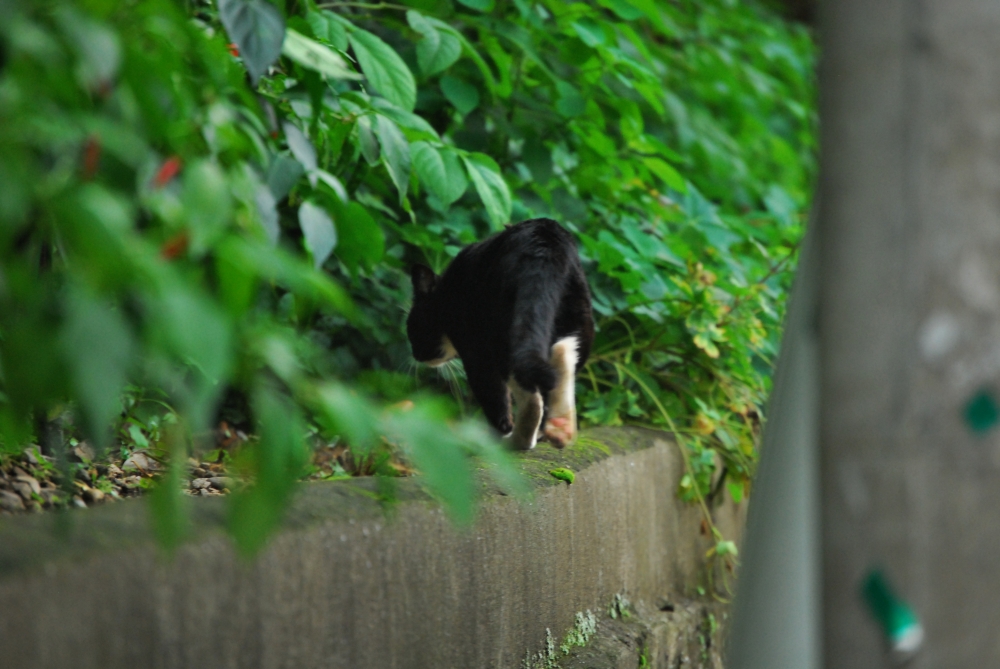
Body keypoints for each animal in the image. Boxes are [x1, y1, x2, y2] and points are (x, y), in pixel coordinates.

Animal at [406, 218, 592, 448]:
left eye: (413, 330)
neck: (449, 291)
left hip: (501, 332)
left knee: (526, 390)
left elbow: (492, 394)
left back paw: (517, 441)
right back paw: (561, 429)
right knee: (563, 356)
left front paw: (496, 437)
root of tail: (543, 245)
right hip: (578, 314)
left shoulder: (474, 350)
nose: (416, 356)